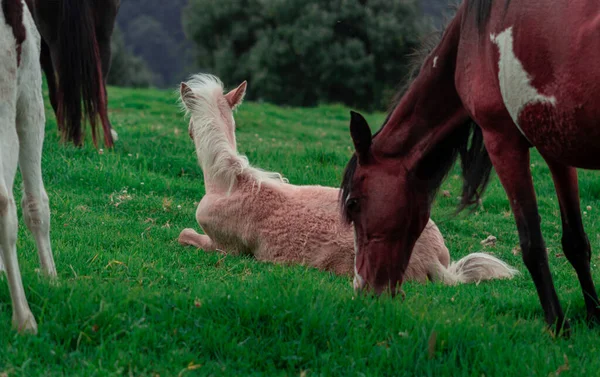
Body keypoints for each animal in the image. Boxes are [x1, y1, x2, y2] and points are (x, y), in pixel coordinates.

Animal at [342, 0, 600, 334]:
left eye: (353, 203)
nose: (362, 288)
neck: (471, 38)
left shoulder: (502, 140)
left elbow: (532, 243)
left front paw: (557, 326)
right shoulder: (553, 145)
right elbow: (576, 242)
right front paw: (594, 317)